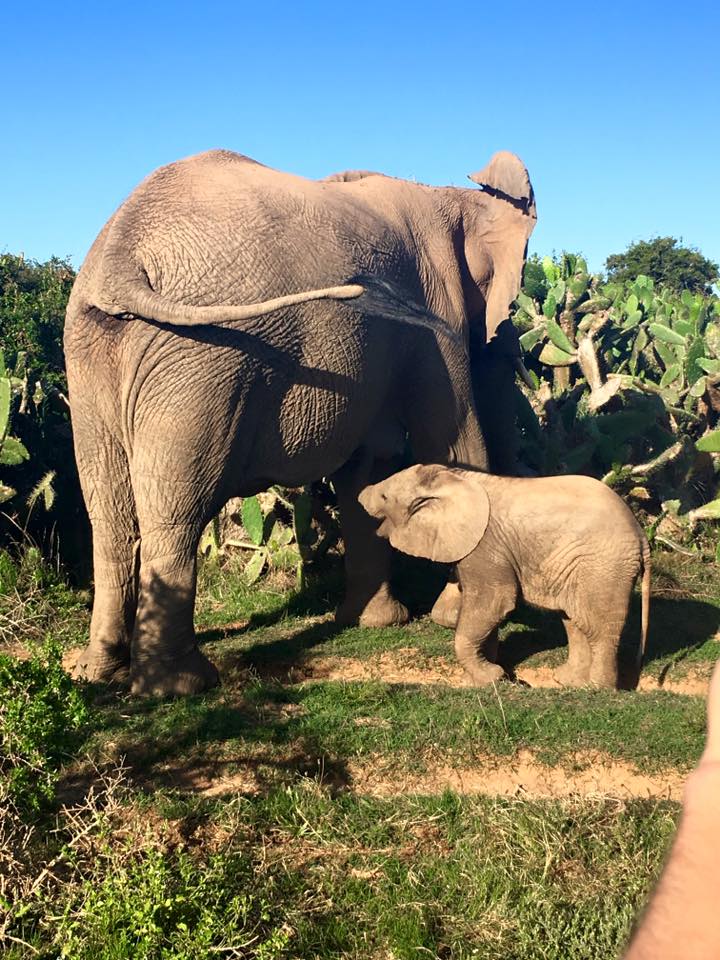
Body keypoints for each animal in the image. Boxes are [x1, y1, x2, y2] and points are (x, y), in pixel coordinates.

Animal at [66, 146, 536, 692]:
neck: (451, 194)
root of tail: (120, 257)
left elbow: (366, 471)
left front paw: (376, 623)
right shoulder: (433, 316)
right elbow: (451, 441)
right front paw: (446, 617)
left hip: (93, 351)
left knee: (109, 513)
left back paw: (98, 672)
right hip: (204, 355)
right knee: (176, 508)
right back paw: (183, 685)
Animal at [362, 464, 648, 688]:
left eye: (385, 496)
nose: (361, 495)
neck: (453, 476)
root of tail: (641, 534)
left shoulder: (485, 544)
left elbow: (494, 601)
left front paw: (490, 677)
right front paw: (480, 679)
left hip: (604, 566)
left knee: (598, 628)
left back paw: (596, 689)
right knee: (574, 621)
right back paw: (569, 682)